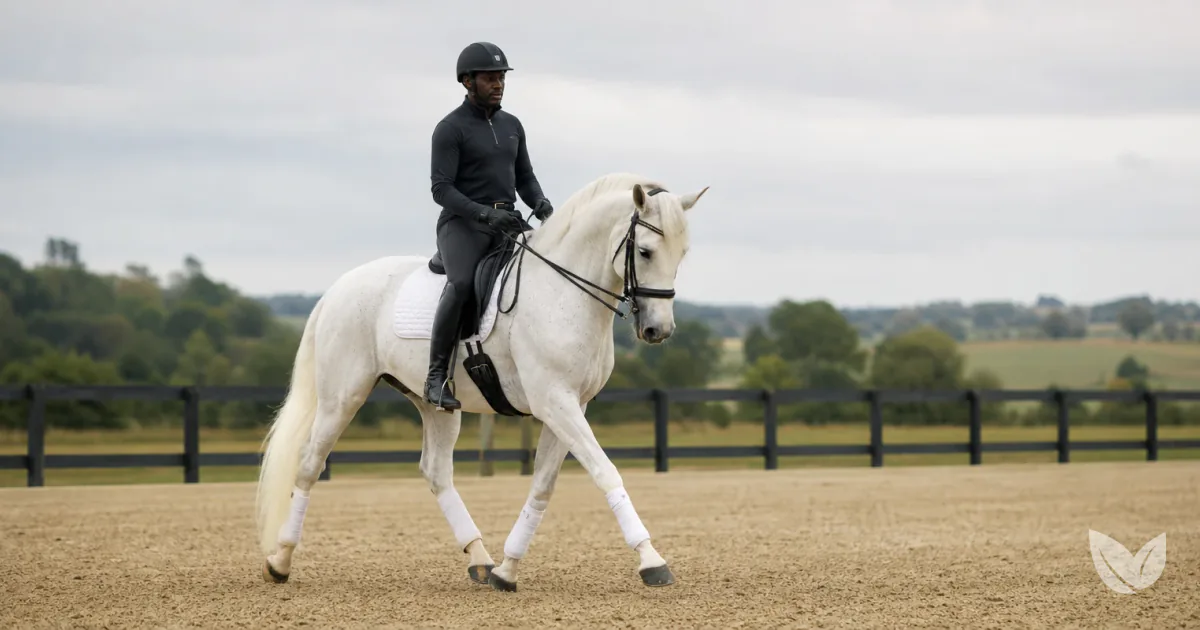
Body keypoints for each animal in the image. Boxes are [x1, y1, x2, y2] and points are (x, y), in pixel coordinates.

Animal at [254, 172, 708, 592]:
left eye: (682, 253)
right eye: (645, 251)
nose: (658, 330)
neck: (561, 291)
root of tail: (337, 289)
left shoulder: (570, 405)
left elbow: (542, 487)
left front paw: (507, 571)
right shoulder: (554, 402)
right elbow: (606, 472)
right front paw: (652, 561)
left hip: (434, 406)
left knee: (436, 472)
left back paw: (480, 559)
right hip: (342, 396)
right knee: (310, 463)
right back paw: (280, 561)